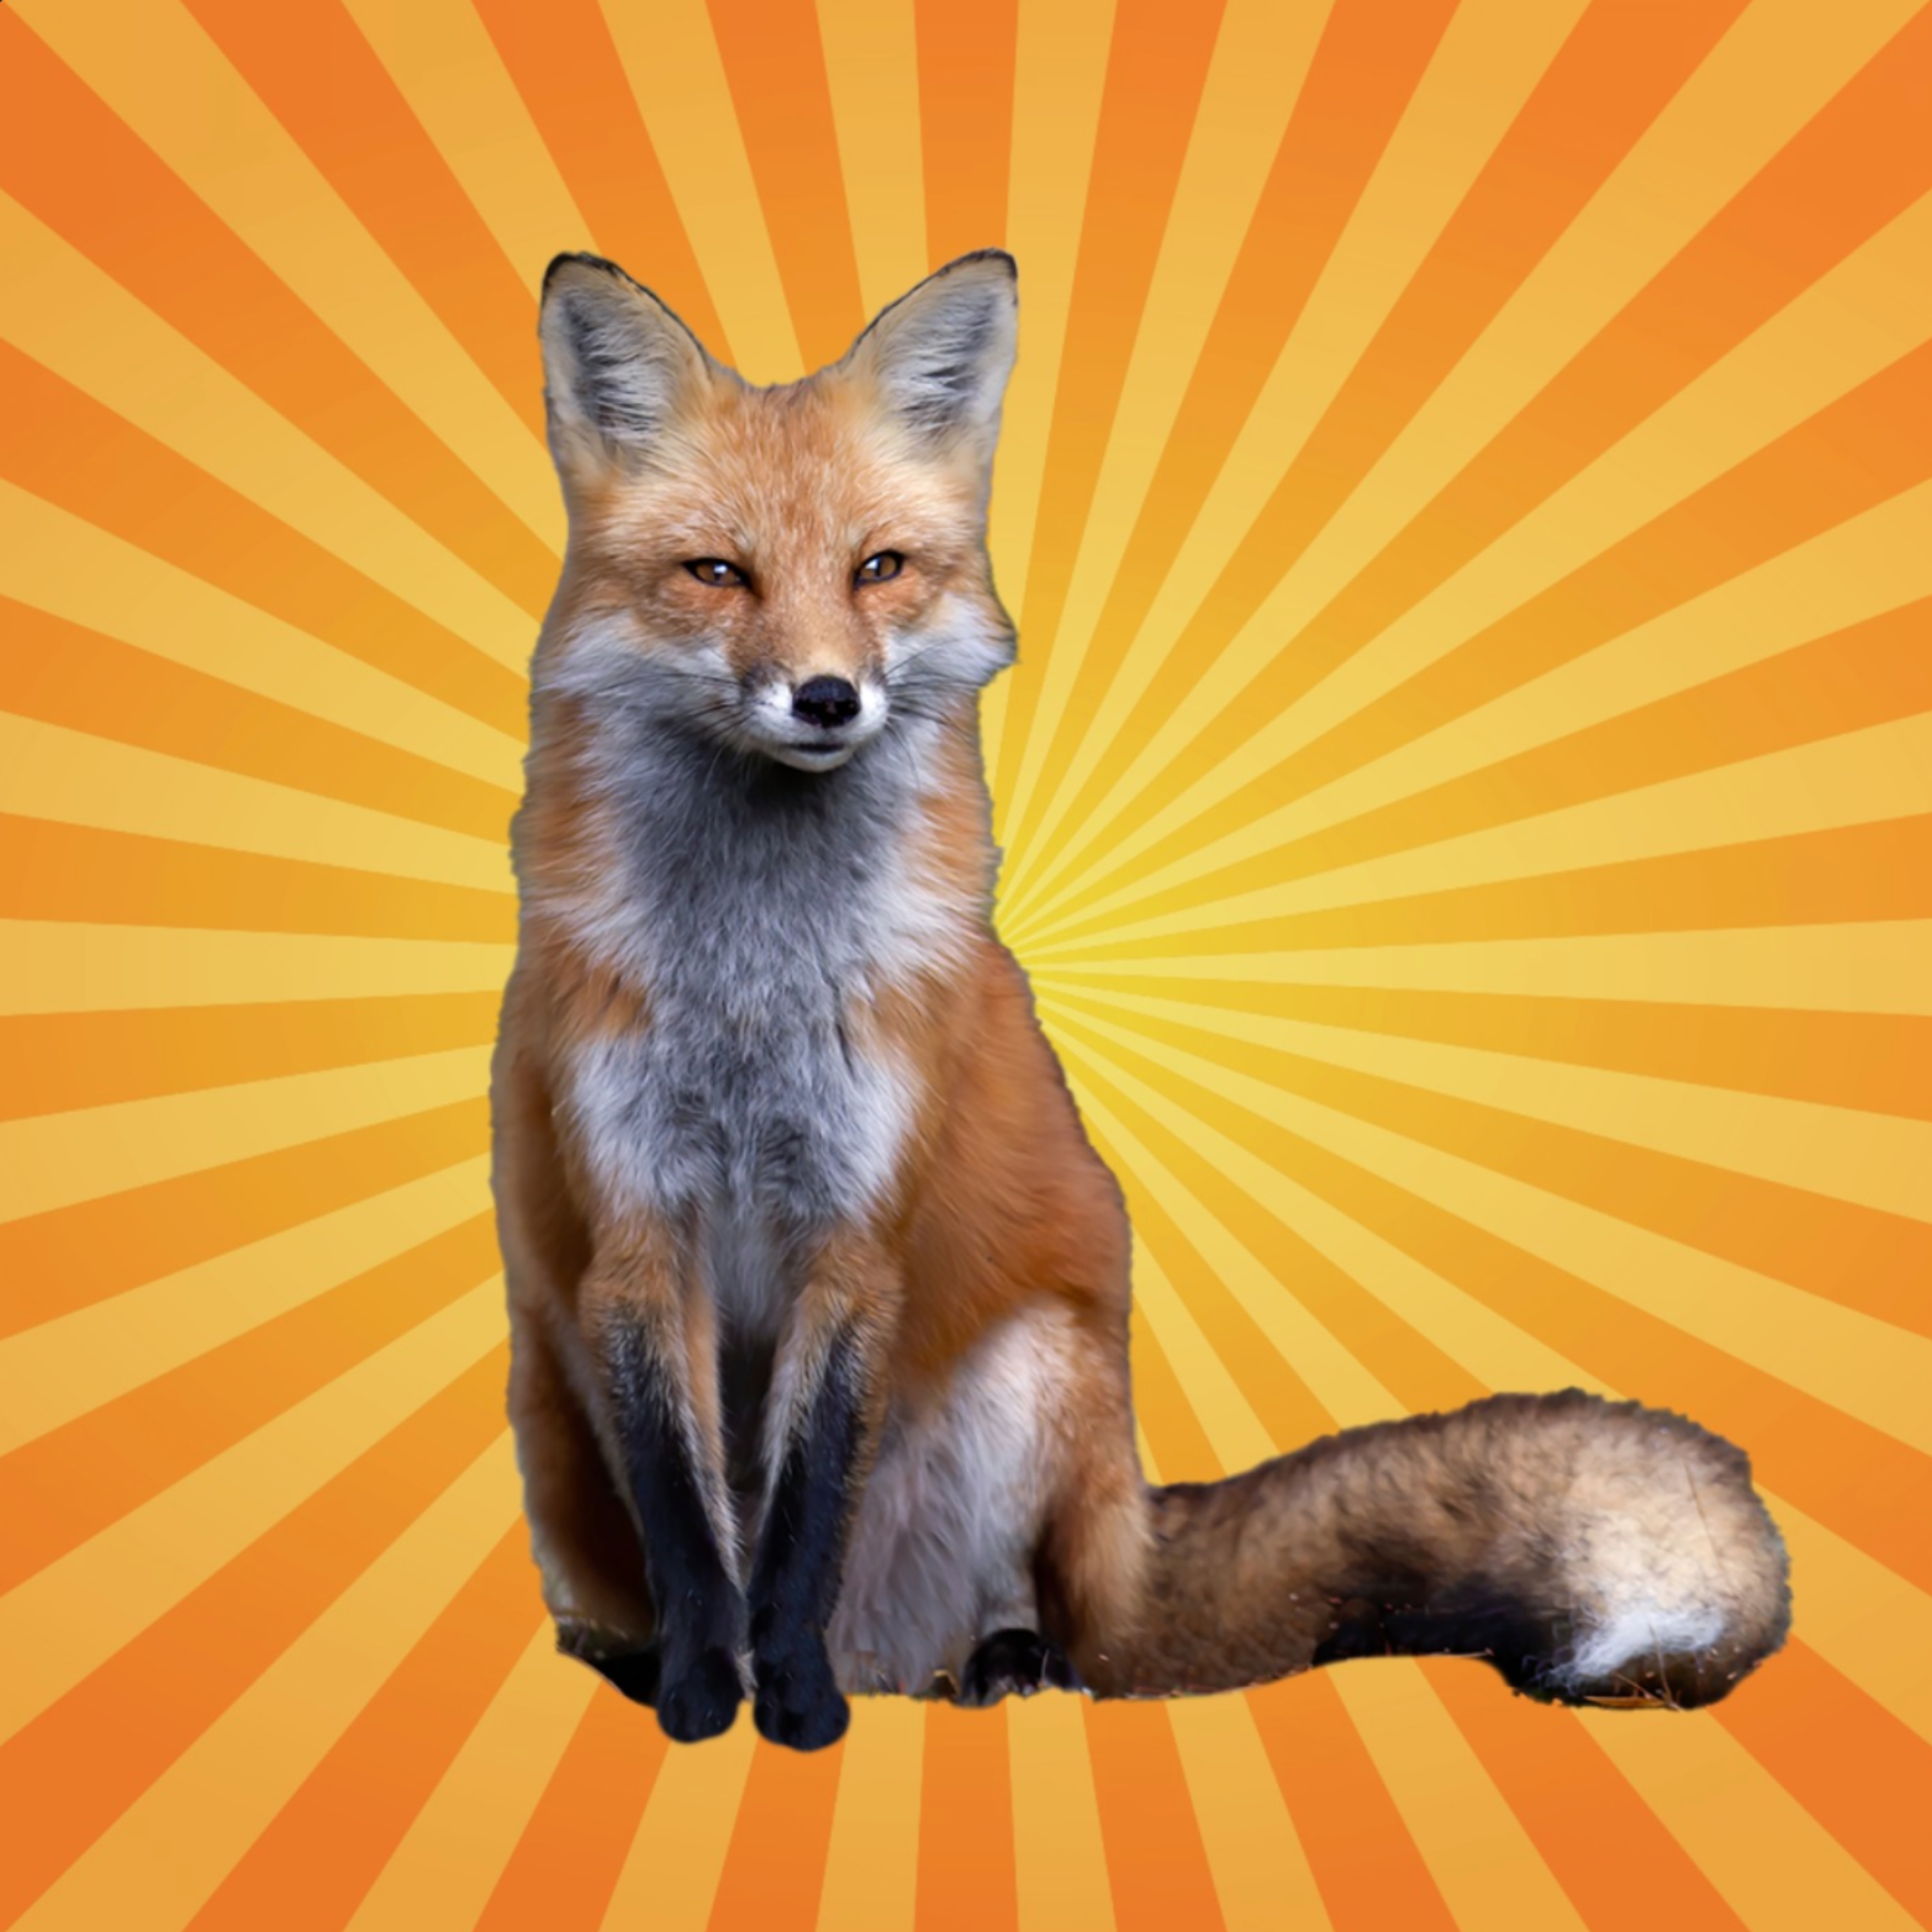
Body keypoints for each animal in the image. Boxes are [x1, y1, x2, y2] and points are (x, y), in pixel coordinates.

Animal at [491, 246, 1791, 1751]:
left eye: (879, 569)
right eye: (718, 573)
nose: (826, 698)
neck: (753, 987)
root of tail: (1133, 1531)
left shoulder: (856, 1232)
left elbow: (802, 1522)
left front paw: (797, 1704)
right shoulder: (637, 1235)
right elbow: (695, 1531)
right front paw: (707, 1694)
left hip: (1039, 1376)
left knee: (1052, 1636)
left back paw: (986, 1662)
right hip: (553, 1404)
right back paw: (641, 1657)